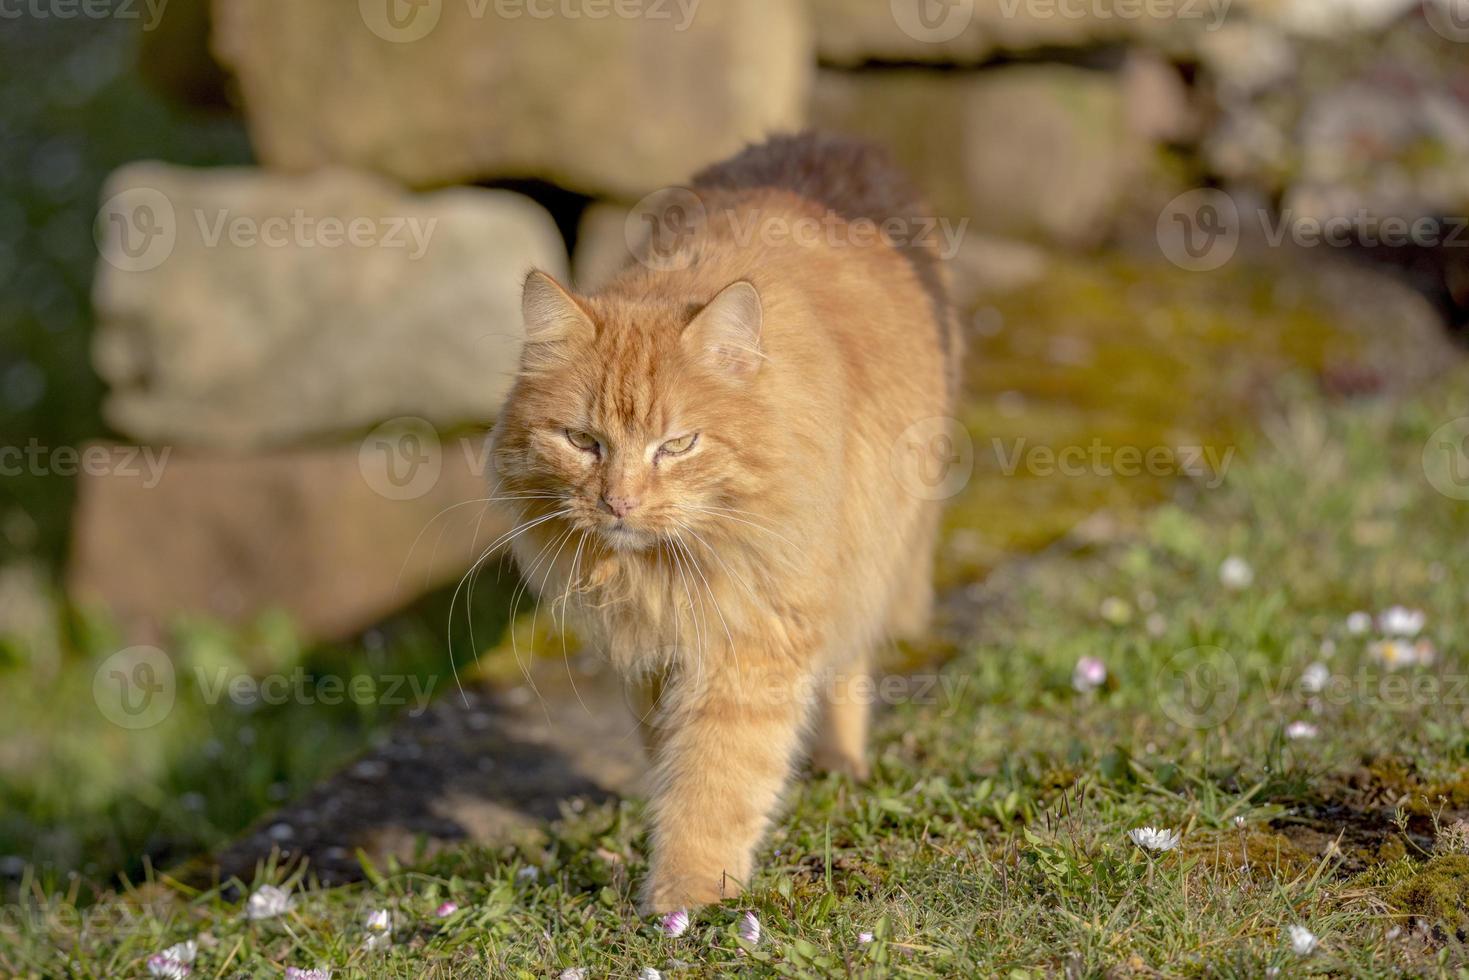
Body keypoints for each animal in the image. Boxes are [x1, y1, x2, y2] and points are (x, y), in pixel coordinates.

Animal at [487, 130, 957, 910]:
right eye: (583, 442)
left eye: (677, 446)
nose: (618, 502)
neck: (664, 571)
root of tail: (820, 140)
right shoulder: (654, 655)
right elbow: (672, 762)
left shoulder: (755, 639)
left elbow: (715, 783)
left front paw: (685, 900)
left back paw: (840, 764)